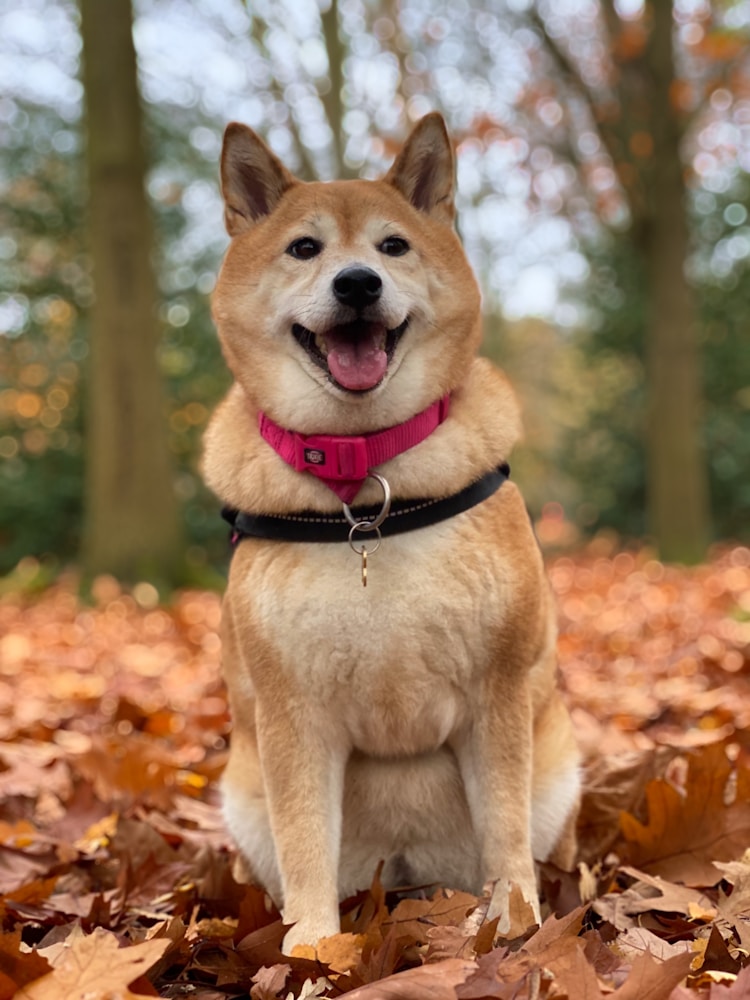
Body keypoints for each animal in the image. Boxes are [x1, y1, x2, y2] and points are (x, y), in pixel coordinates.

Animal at [204, 113, 580, 948]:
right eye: (304, 249)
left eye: (393, 246)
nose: (357, 283)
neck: (367, 484)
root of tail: (407, 878)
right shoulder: (292, 713)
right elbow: (305, 840)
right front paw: (313, 948)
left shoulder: (498, 692)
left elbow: (504, 826)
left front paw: (514, 924)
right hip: (244, 798)